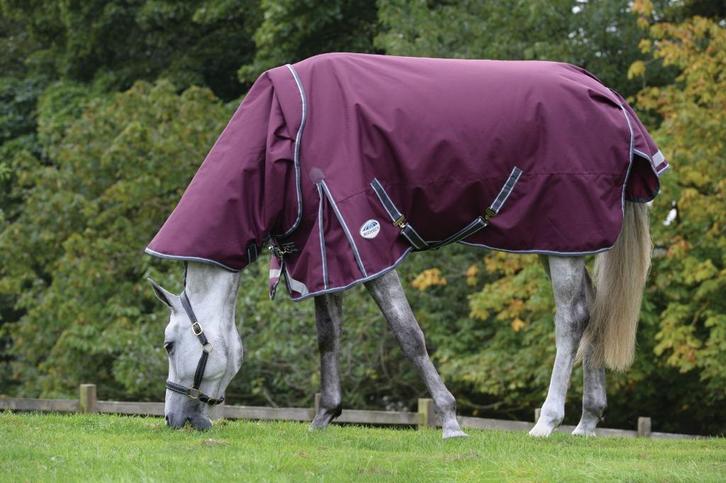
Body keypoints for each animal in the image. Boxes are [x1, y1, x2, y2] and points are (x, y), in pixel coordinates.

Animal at [146, 53, 667, 438]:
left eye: (169, 344)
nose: (174, 419)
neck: (284, 138)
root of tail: (606, 95)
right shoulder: (325, 250)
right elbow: (328, 336)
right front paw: (324, 416)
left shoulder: (366, 243)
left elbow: (408, 334)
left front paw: (451, 420)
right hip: (560, 239)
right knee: (594, 313)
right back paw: (586, 422)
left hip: (563, 242)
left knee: (571, 319)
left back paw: (548, 422)